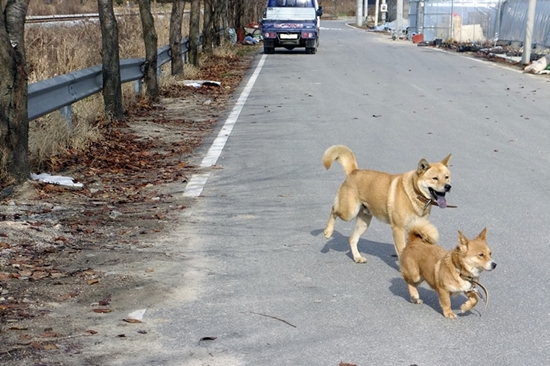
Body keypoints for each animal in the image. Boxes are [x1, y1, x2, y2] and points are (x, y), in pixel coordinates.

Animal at [324, 145, 452, 264]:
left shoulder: (417, 227)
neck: (415, 194)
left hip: (364, 222)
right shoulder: (398, 228)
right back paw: (328, 231)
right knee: (333, 209)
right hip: (349, 212)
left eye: (447, 177)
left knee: (352, 239)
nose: (448, 187)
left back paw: (357, 257)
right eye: (435, 178)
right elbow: (401, 249)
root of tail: (354, 171)